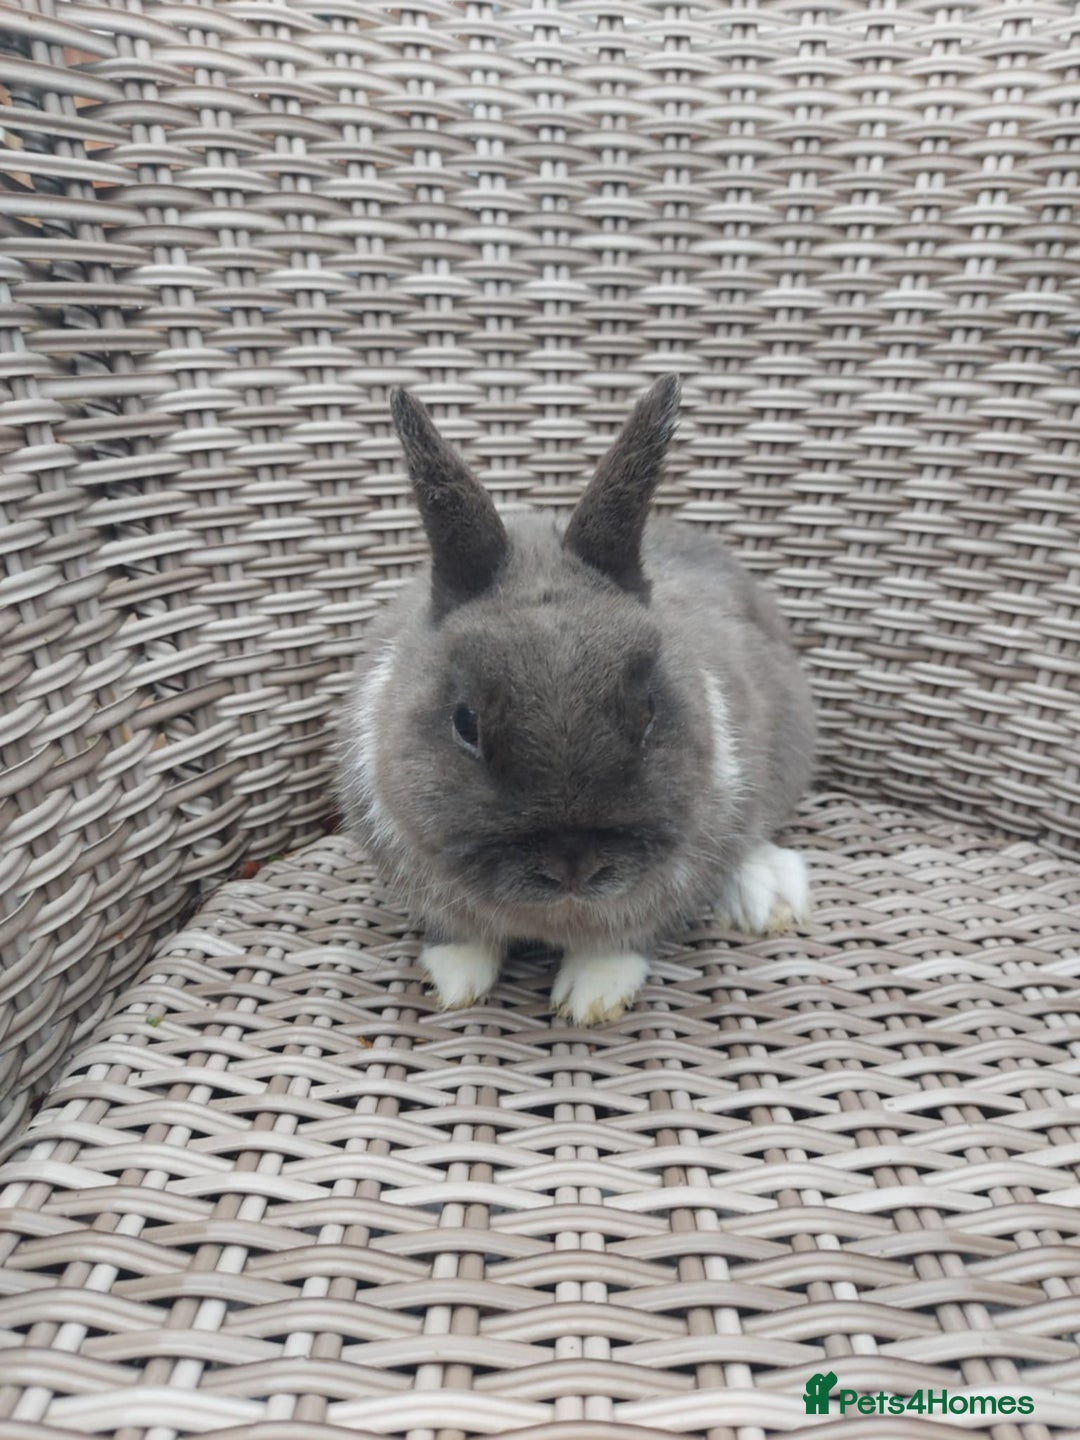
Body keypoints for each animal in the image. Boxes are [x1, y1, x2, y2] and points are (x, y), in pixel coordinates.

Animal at [337, 375, 816, 1026]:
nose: (572, 865)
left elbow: (619, 942)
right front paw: (455, 983)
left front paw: (591, 997)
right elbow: (461, 937)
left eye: (649, 711)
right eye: (465, 723)